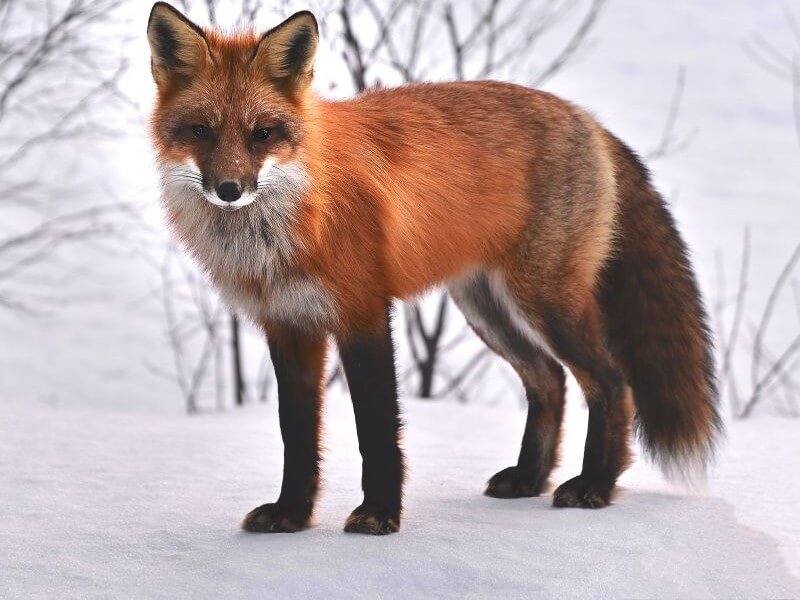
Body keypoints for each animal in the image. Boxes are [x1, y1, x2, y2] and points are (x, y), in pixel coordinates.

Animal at [147, 2, 721, 535]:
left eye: (262, 134)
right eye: (200, 131)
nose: (229, 190)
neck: (293, 219)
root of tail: (587, 119)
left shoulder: (363, 313)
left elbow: (376, 428)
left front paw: (379, 515)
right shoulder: (288, 325)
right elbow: (297, 435)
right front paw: (291, 515)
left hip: (546, 303)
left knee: (612, 383)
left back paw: (595, 485)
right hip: (487, 309)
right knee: (549, 380)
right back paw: (529, 478)